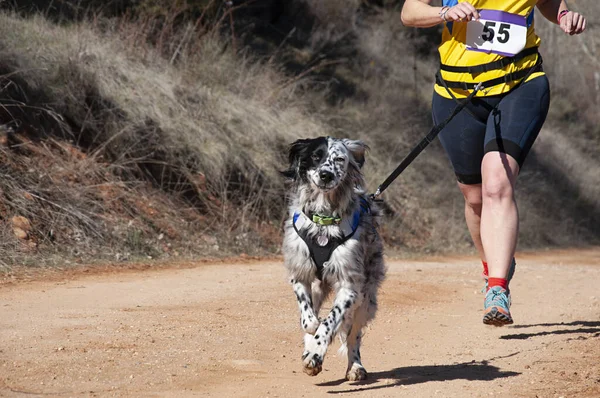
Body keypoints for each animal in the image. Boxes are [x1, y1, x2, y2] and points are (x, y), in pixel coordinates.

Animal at [280, 138, 384, 382]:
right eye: (316, 156)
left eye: (339, 159)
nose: (326, 175)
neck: (323, 222)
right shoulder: (300, 273)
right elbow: (308, 317)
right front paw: (311, 338)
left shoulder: (350, 287)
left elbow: (330, 322)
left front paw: (316, 352)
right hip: (320, 288)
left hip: (366, 300)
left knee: (353, 334)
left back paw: (355, 366)